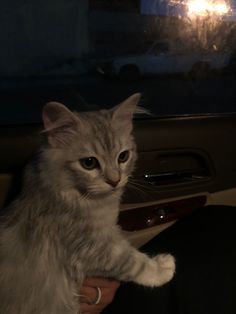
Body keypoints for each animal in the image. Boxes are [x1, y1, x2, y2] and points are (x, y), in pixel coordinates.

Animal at [0, 93, 173, 314]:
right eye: (89, 163)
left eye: (123, 156)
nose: (115, 180)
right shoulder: (91, 247)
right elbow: (131, 261)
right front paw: (163, 268)